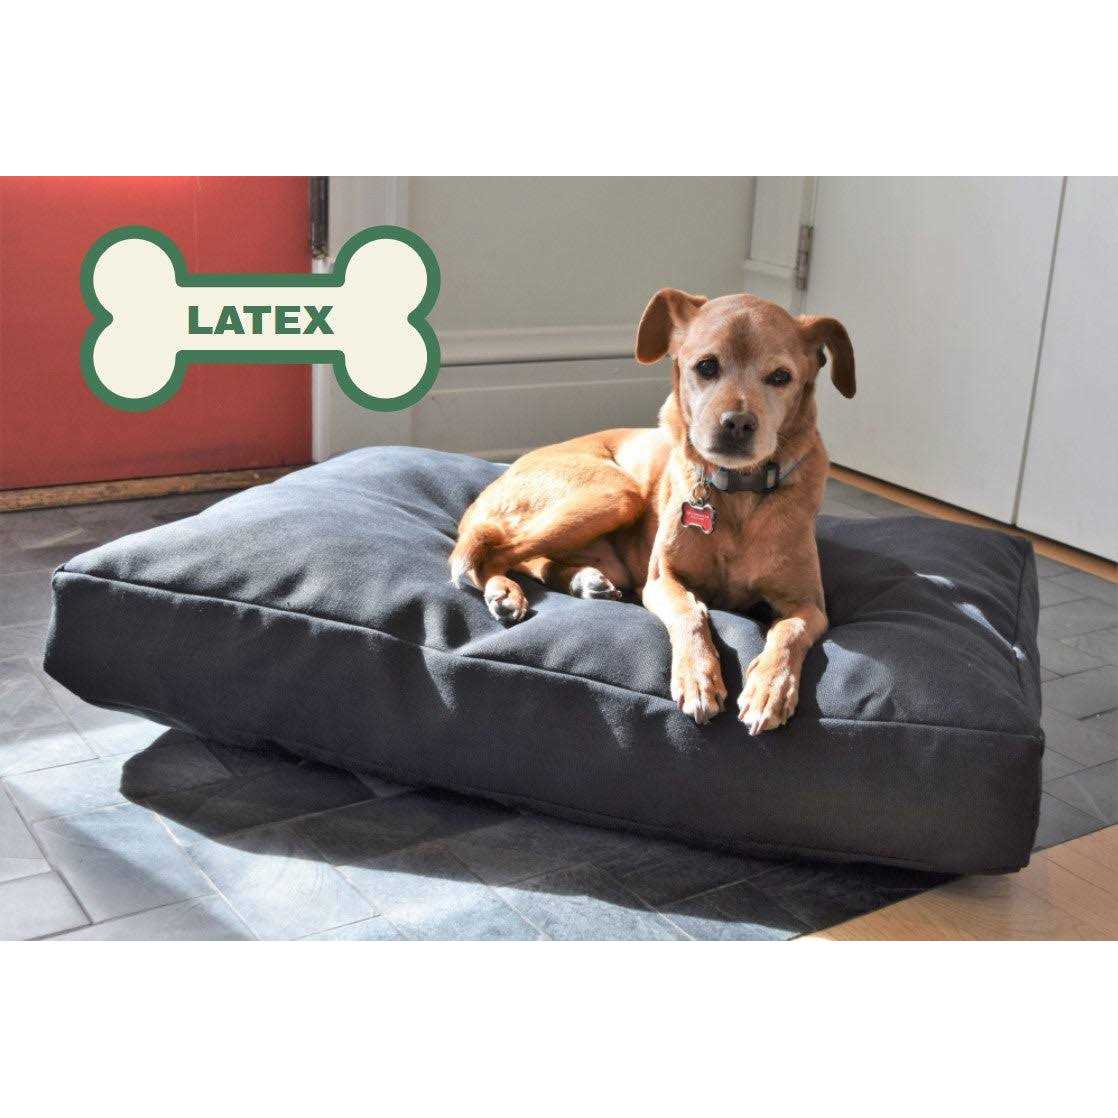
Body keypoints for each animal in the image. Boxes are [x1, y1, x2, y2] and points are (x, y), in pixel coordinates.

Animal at [450, 288, 855, 735]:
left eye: (781, 377)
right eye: (707, 366)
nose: (737, 423)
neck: (737, 493)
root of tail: (501, 478)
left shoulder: (811, 606)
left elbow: (790, 631)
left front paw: (771, 687)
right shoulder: (661, 582)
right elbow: (689, 613)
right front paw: (698, 676)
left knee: (534, 559)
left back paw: (583, 581)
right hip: (615, 494)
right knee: (496, 552)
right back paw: (503, 592)